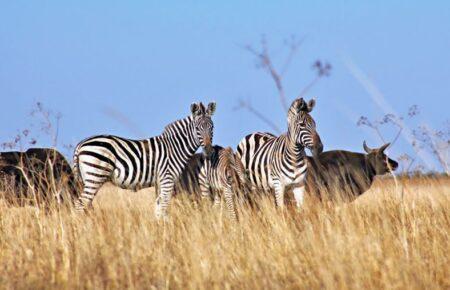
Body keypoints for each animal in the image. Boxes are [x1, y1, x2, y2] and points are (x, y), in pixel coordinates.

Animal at [72, 101, 216, 219]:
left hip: (88, 178)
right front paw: (165, 232)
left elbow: (158, 208)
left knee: (85, 204)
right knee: (80, 204)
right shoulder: (167, 178)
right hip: (95, 175)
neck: (174, 147)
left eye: (212, 127)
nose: (209, 151)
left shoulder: (160, 182)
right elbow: (164, 207)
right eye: (197, 128)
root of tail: (81, 144)